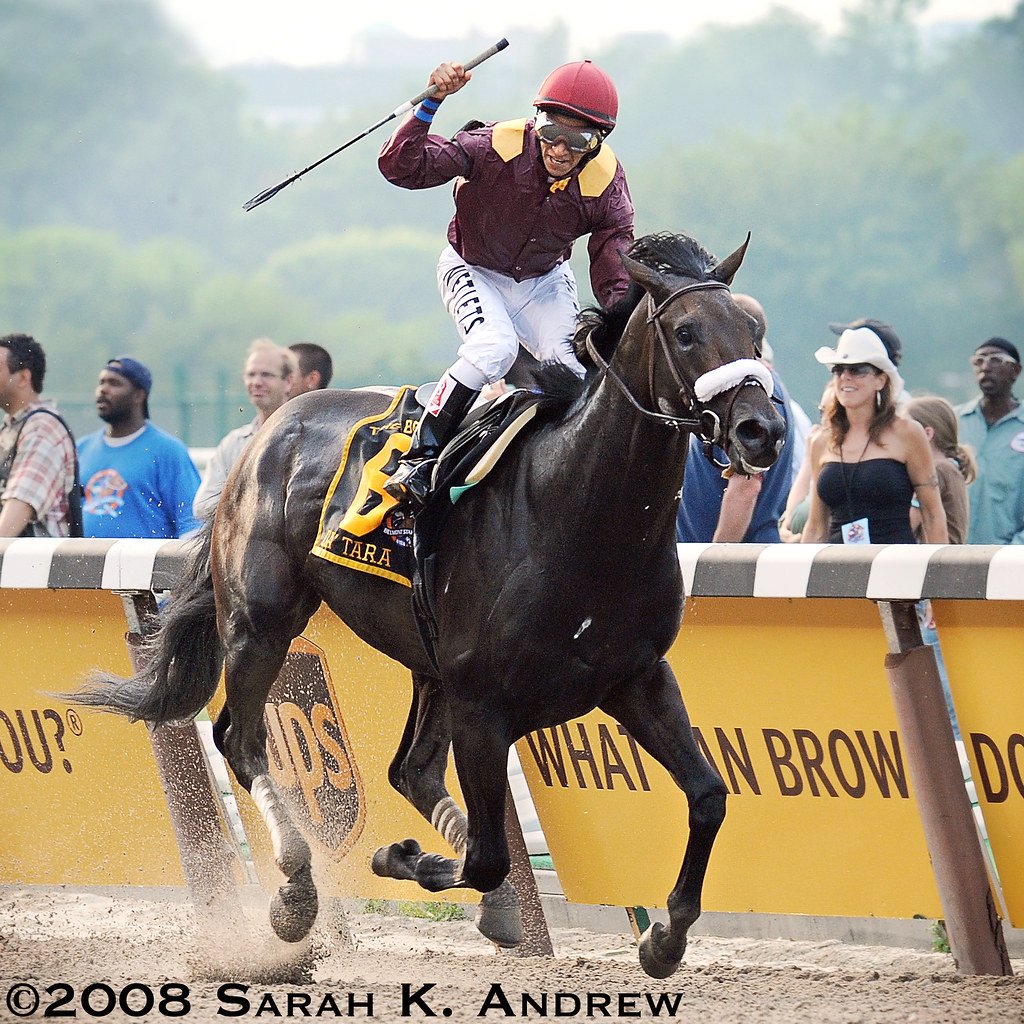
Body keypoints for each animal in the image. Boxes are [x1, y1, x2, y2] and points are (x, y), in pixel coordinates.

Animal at [68, 231, 785, 979]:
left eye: (754, 332)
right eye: (686, 332)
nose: (761, 429)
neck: (577, 509)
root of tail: (271, 428)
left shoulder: (635, 676)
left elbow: (707, 796)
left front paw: (665, 936)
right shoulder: (484, 705)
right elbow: (489, 854)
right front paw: (401, 855)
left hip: (426, 660)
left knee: (407, 770)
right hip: (262, 623)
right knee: (242, 738)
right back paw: (295, 894)